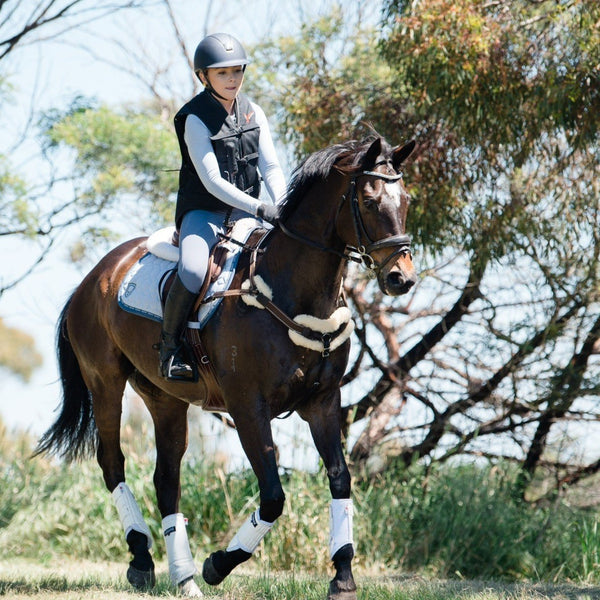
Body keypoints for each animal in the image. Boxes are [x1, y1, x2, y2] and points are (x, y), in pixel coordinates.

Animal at [35, 134, 414, 596]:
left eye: (406, 199)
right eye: (369, 200)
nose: (402, 277)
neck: (292, 290)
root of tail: (93, 277)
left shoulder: (322, 403)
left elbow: (340, 479)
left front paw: (342, 576)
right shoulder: (248, 407)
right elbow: (272, 496)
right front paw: (218, 564)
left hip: (165, 398)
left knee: (167, 478)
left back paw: (183, 577)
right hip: (105, 382)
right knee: (112, 463)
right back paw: (143, 559)